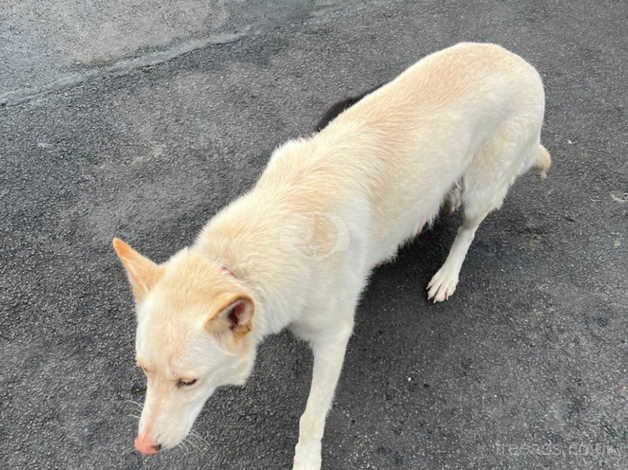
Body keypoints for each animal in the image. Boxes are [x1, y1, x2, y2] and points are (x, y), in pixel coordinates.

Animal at [113, 43, 548, 466]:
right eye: (144, 370)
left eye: (188, 381)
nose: (142, 447)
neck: (245, 257)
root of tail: (522, 63)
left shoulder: (334, 339)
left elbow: (311, 416)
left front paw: (306, 458)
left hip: (483, 189)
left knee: (468, 229)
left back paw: (448, 274)